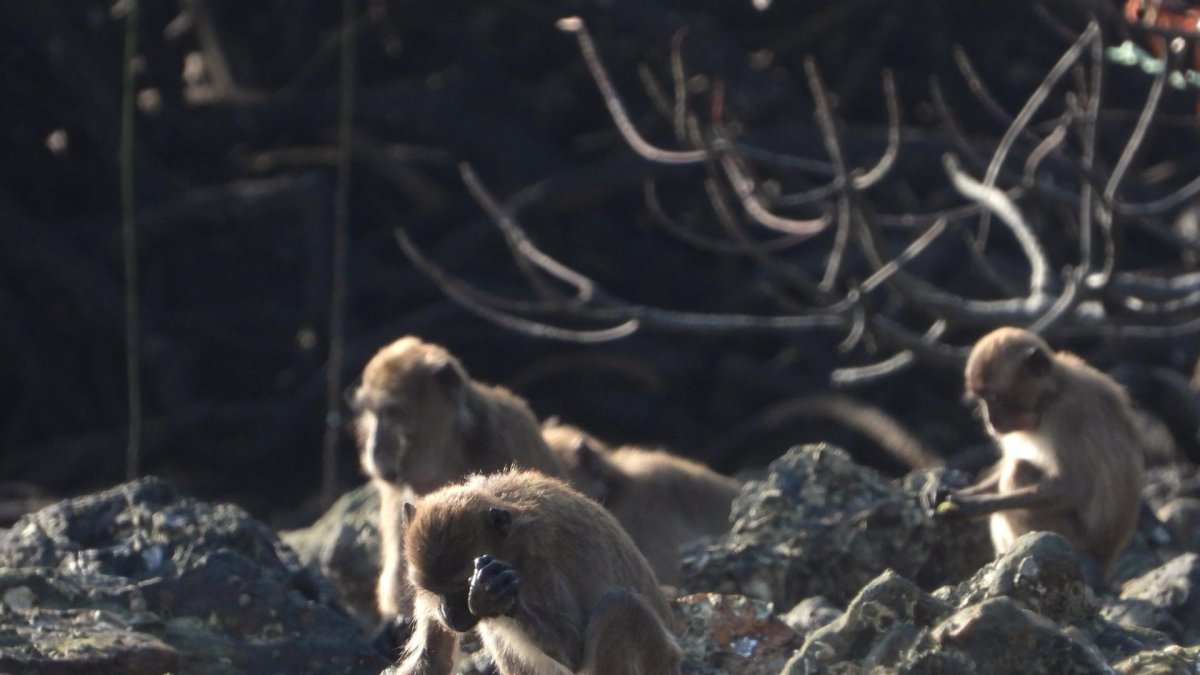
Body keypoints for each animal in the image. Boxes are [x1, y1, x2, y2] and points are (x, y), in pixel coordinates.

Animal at [349, 336, 568, 640]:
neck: (450, 452)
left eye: (391, 413)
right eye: (371, 414)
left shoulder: (505, 438)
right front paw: (395, 623)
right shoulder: (397, 490)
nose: (374, 447)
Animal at [397, 470, 684, 675]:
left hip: (659, 659)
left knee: (620, 606)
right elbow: (434, 660)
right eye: (434, 590)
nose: (448, 614)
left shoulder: (537, 563)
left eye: (460, 587)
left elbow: (572, 650)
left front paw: (494, 594)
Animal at [934, 327, 1145, 586]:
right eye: (982, 400)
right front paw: (950, 492)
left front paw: (973, 505)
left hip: (1075, 541)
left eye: (993, 398)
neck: (1051, 394)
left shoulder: (1067, 414)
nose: (990, 420)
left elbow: (1073, 488)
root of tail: (1106, 559)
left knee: (1018, 470)